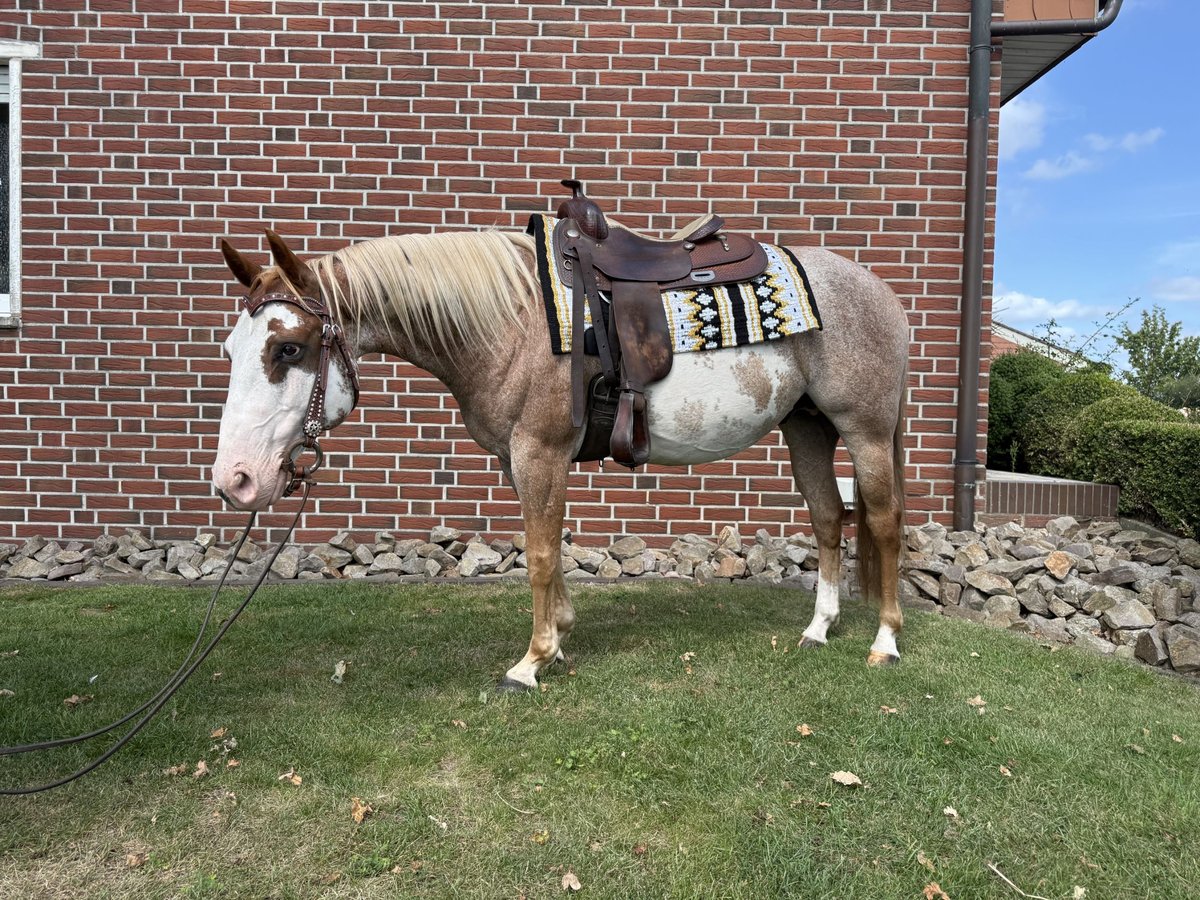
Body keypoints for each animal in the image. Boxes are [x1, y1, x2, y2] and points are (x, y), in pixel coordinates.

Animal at [212, 221, 909, 690]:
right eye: (229, 348)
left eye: (287, 349)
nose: (234, 481)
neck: (513, 323)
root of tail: (881, 293)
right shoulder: (523, 460)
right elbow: (547, 547)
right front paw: (562, 639)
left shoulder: (539, 452)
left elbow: (542, 554)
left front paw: (533, 660)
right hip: (808, 429)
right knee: (828, 517)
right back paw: (818, 628)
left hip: (866, 430)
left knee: (882, 522)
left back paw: (885, 641)